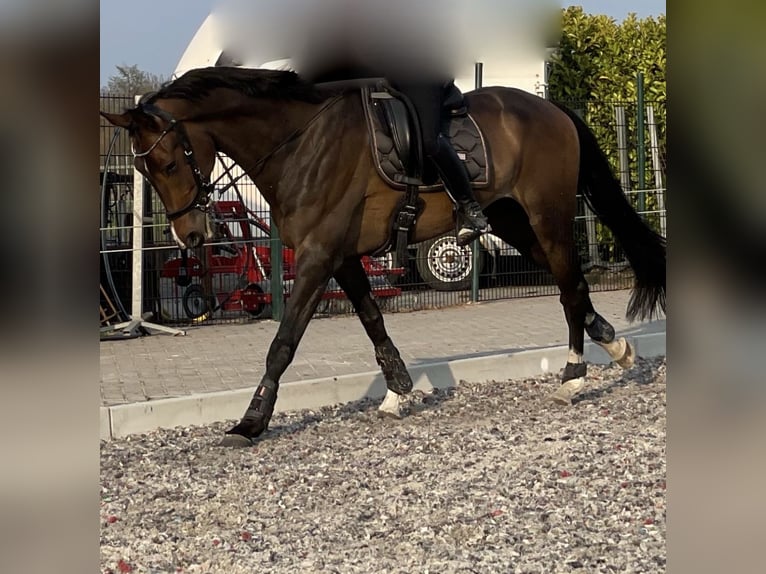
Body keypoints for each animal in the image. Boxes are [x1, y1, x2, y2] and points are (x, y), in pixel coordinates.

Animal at [101, 67, 666, 444]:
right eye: (145, 170)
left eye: (170, 162)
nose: (191, 236)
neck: (301, 140)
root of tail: (550, 109)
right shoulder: (340, 256)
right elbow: (373, 318)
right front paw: (397, 389)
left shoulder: (318, 254)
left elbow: (283, 343)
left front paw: (252, 420)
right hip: (515, 222)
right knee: (574, 287)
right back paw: (614, 345)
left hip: (546, 216)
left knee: (570, 286)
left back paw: (574, 377)